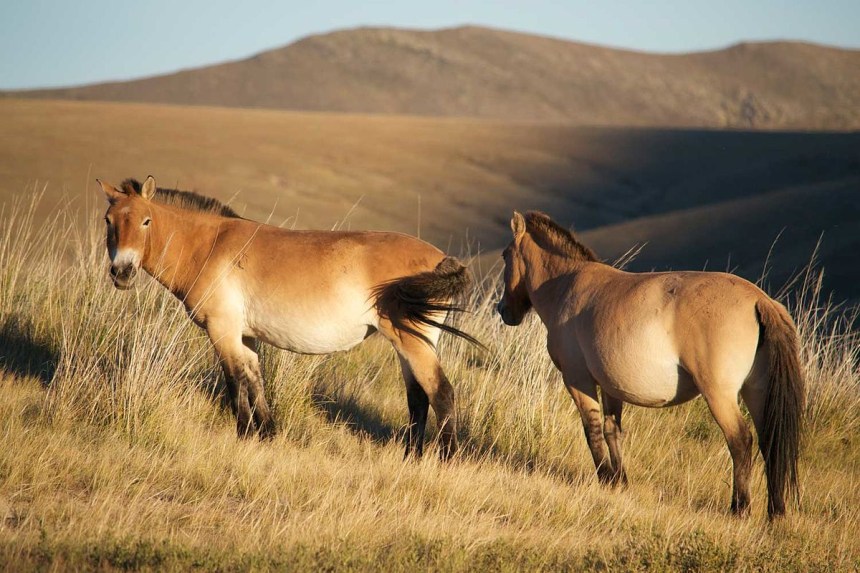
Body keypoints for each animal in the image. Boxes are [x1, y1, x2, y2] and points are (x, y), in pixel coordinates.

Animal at [97, 175, 478, 460]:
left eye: (146, 221)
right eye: (109, 221)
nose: (122, 272)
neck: (207, 247)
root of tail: (440, 257)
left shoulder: (222, 331)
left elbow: (234, 381)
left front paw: (243, 435)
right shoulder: (245, 335)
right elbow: (255, 379)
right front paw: (266, 435)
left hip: (412, 341)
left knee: (440, 392)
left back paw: (446, 459)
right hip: (411, 343)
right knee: (418, 398)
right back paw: (410, 457)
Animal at [496, 211, 804, 518]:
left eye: (505, 255)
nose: (504, 311)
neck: (566, 286)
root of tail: (760, 301)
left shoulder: (577, 380)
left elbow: (592, 429)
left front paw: (605, 478)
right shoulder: (611, 387)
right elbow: (612, 430)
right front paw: (619, 482)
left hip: (720, 394)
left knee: (740, 441)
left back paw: (739, 509)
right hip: (757, 392)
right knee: (769, 442)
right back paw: (776, 512)